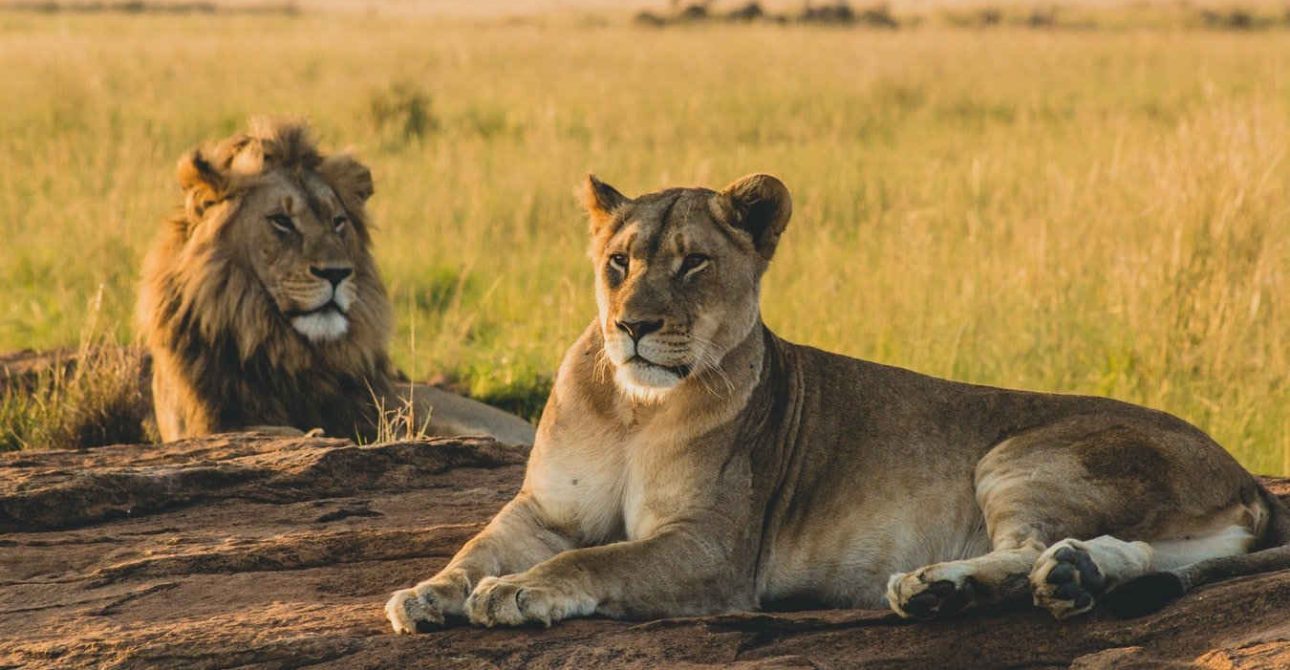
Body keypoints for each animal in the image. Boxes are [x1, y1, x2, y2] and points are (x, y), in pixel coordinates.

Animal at [384, 172, 1290, 635]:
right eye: (619, 262)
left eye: (693, 264)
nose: (633, 326)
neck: (635, 409)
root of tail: (1247, 477)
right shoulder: (545, 509)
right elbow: (478, 545)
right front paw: (427, 594)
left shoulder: (712, 550)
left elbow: (594, 562)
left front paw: (514, 594)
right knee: (1120, 553)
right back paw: (1065, 578)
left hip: (1020, 454)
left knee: (1031, 546)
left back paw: (938, 586)